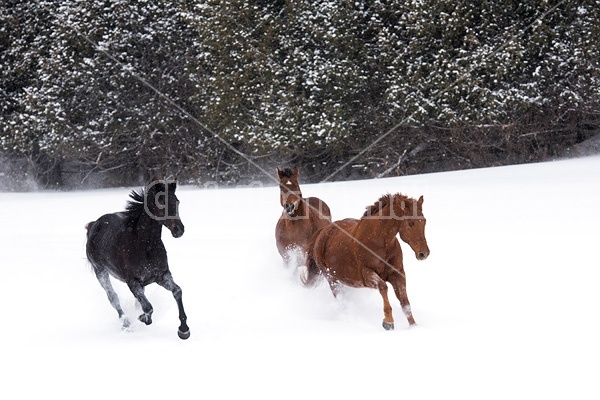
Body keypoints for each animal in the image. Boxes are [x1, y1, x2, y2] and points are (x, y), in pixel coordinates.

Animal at [84, 180, 190, 340]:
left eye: (177, 201)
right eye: (161, 202)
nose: (179, 230)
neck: (146, 247)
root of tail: (93, 225)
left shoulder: (162, 276)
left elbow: (177, 291)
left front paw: (184, 330)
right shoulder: (133, 281)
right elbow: (148, 307)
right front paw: (142, 318)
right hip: (100, 272)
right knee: (113, 298)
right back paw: (126, 324)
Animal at [308, 192, 428, 330]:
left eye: (424, 222)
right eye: (410, 223)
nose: (423, 253)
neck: (380, 243)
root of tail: (321, 233)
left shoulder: (398, 274)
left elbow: (405, 302)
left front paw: (414, 326)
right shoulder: (366, 274)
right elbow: (383, 287)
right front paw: (388, 322)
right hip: (331, 279)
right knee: (340, 300)